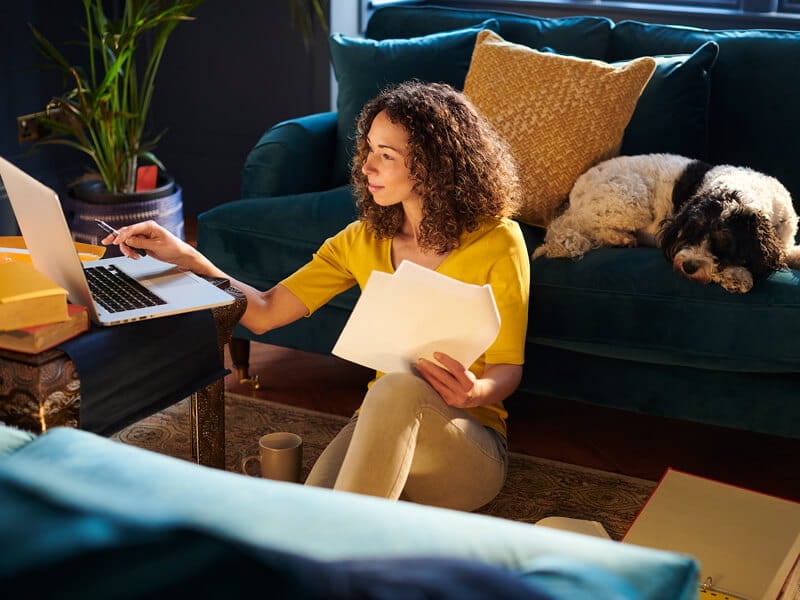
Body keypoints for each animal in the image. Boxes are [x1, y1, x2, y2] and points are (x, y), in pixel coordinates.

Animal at [532, 154, 800, 292]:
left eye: (723, 244)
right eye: (689, 234)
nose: (688, 266)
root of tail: (572, 199)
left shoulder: (783, 241)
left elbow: (786, 253)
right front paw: (737, 275)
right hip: (631, 201)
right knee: (591, 227)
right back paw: (622, 238)